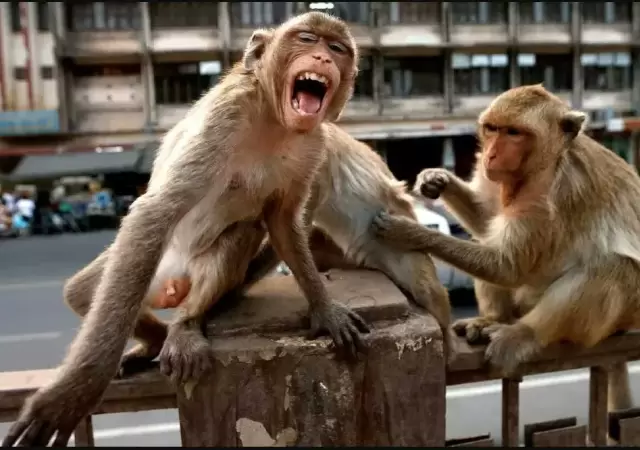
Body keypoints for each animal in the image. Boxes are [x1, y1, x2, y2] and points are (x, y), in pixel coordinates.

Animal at [3, 13, 371, 447]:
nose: (322, 58)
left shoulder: (314, 143)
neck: (274, 119)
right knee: (85, 291)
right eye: (308, 39)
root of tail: (174, 282)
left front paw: (324, 308)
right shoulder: (224, 116)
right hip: (148, 265)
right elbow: (155, 211)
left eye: (338, 49)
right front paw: (77, 389)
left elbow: (281, 221)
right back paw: (154, 338)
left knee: (239, 235)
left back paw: (183, 325)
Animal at [370, 84, 640, 415]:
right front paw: (437, 180)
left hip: (617, 318)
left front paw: (408, 231)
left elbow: (508, 265)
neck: (545, 164)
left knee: (614, 267)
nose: (491, 154)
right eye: (492, 129)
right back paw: (493, 319)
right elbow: (488, 224)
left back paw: (523, 333)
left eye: (514, 132)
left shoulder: (549, 196)